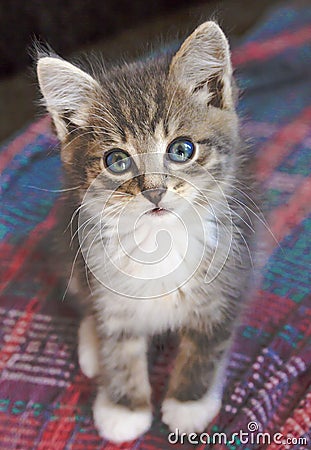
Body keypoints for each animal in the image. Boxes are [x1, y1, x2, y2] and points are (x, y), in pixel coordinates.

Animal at [36, 21, 256, 442]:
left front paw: (189, 403)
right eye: (116, 160)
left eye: (182, 149)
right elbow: (118, 344)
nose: (154, 190)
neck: (160, 241)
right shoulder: (108, 288)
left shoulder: (228, 283)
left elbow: (206, 346)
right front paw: (124, 407)